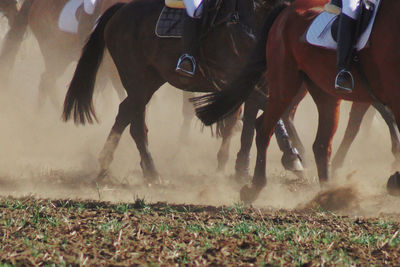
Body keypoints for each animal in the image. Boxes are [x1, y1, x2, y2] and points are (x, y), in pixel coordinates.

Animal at [193, 0, 400, 203]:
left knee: (321, 144)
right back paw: (257, 186)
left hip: (324, 93)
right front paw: (395, 176)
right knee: (265, 128)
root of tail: (287, 10)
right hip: (284, 85)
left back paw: (328, 193)